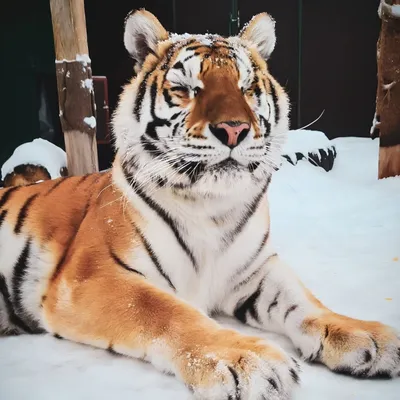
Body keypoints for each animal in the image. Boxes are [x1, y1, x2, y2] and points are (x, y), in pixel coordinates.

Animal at [0, 9, 400, 400]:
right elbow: (166, 311)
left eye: (247, 88)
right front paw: (250, 360)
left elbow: (303, 301)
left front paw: (366, 336)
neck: (212, 208)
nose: (234, 129)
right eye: (185, 89)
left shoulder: (254, 270)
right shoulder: (92, 278)